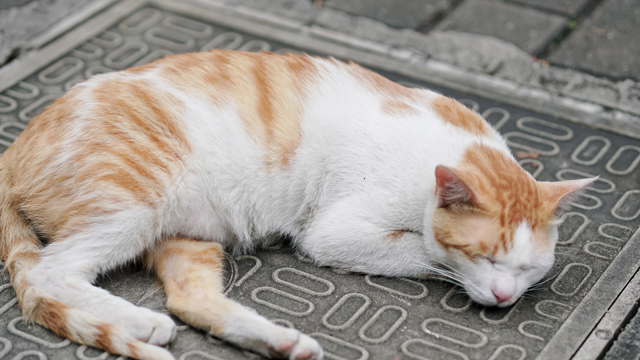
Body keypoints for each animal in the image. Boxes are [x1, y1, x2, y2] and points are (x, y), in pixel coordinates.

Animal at [0, 50, 596, 360]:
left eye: (528, 267)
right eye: (486, 258)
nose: (503, 296)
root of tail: (14, 145)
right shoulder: (334, 233)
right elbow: (424, 252)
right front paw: (443, 261)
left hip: (187, 236)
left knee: (190, 301)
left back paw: (279, 342)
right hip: (135, 204)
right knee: (53, 273)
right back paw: (141, 323)